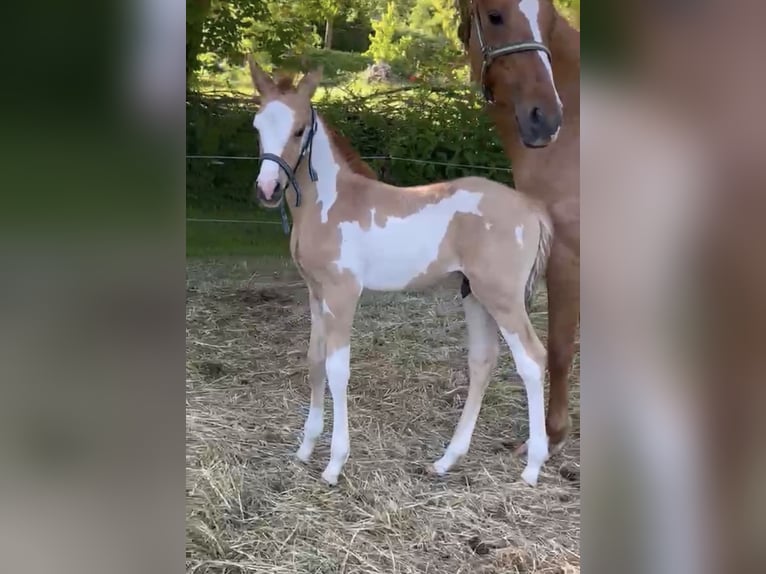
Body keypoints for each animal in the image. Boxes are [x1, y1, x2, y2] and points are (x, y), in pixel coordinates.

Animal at [246, 57, 554, 487]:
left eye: (299, 129)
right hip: (474, 294)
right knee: (482, 361)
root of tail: (531, 207)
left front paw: (334, 463)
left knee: (532, 360)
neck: (329, 204)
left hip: (503, 297)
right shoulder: (315, 292)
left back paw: (532, 467)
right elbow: (314, 360)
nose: (268, 189)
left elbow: (337, 369)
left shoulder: (342, 293)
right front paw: (305, 449)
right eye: (257, 126)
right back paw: (447, 460)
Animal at [456, 0, 580, 452]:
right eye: (494, 16)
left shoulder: (567, 254)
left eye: (548, 20)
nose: (546, 119)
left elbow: (559, 347)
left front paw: (553, 434)